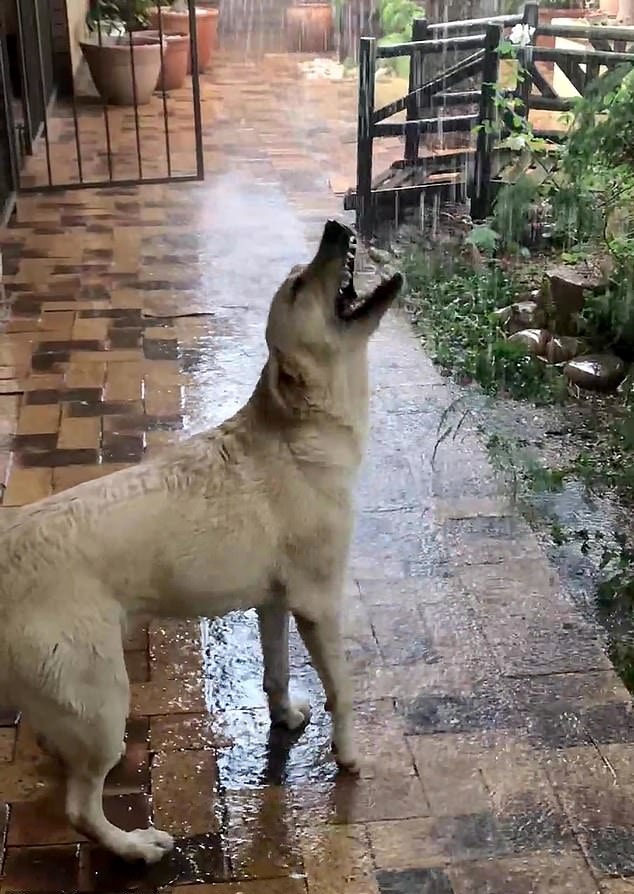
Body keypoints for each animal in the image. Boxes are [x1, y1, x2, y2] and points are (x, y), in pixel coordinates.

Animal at [0, 219, 402, 868]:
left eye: (302, 271)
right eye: (297, 287)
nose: (335, 226)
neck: (299, 431)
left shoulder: (273, 603)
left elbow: (276, 674)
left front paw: (286, 718)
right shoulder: (319, 604)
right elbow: (341, 690)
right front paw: (347, 756)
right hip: (105, 703)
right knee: (81, 807)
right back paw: (136, 846)